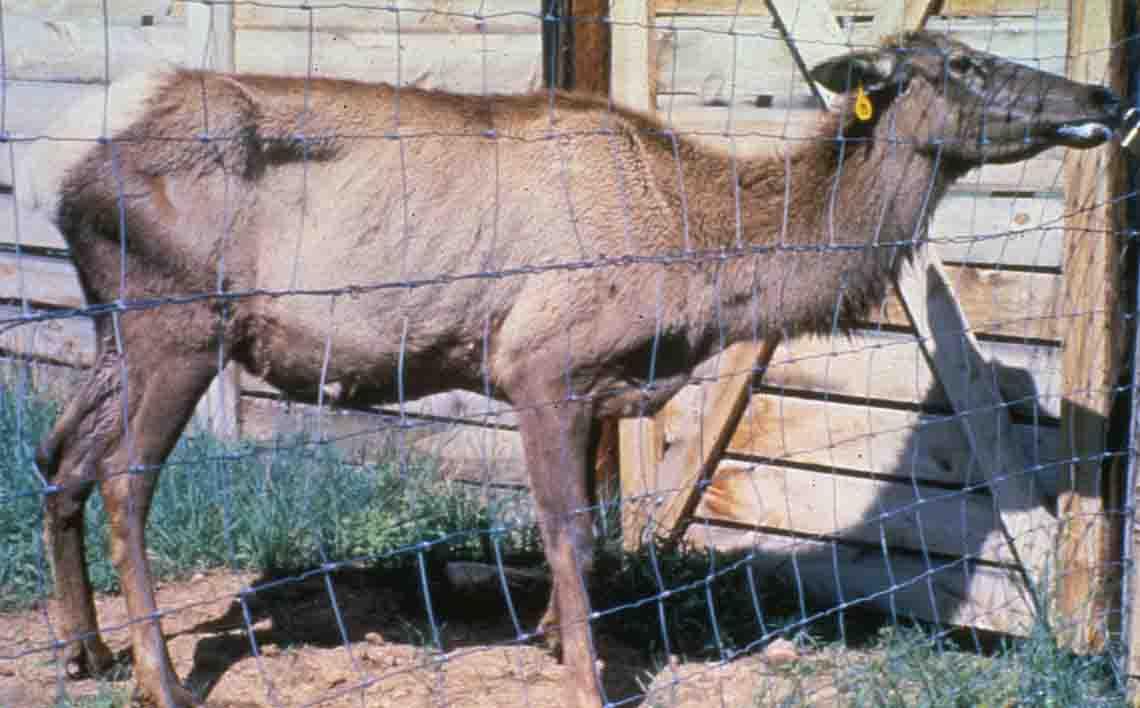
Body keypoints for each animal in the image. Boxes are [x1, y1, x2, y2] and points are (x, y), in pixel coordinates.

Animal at [22, 31, 1117, 706]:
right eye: (965, 62)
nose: (1106, 92)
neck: (698, 266)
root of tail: (59, 161)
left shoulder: (597, 383)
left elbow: (588, 535)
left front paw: (555, 637)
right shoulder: (536, 359)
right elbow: (563, 531)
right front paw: (584, 676)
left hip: (115, 325)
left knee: (56, 453)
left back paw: (85, 648)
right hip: (174, 320)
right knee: (122, 480)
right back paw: (160, 678)